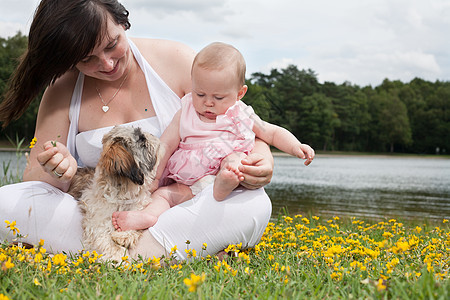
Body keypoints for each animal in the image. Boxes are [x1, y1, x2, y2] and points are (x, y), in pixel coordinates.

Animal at [69, 125, 161, 262]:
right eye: (142, 139)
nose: (154, 136)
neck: (122, 197)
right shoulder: (97, 229)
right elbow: (112, 247)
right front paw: (123, 261)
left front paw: (124, 236)